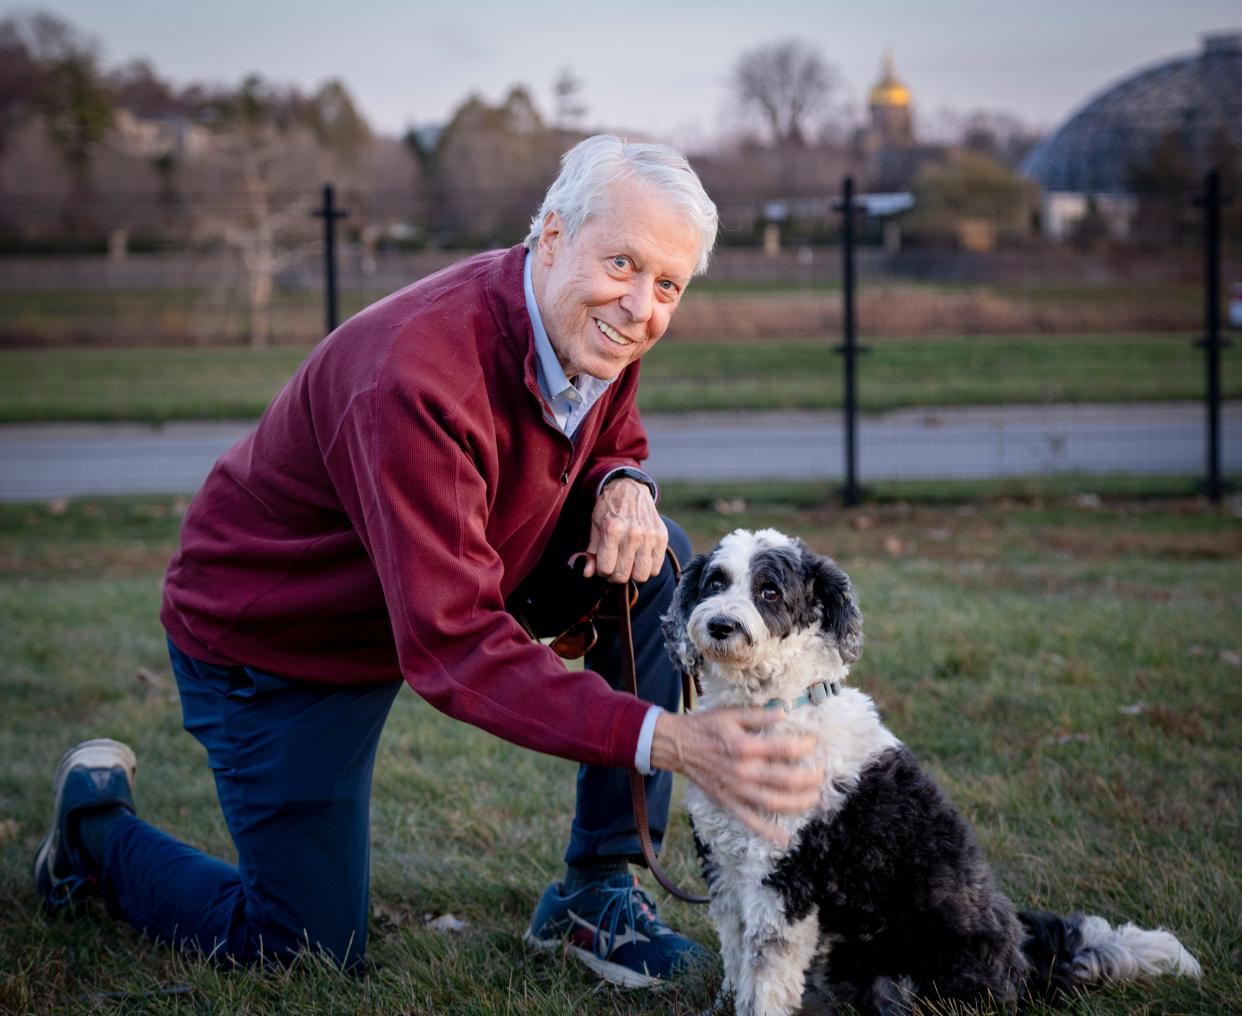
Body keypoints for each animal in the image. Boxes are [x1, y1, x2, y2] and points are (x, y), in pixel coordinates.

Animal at [665, 531, 1197, 1013]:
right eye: (716, 582)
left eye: (770, 591)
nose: (720, 625)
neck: (773, 707)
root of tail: (1028, 964)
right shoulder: (726, 867)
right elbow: (738, 959)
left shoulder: (784, 876)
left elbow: (765, 976)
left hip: (907, 983)